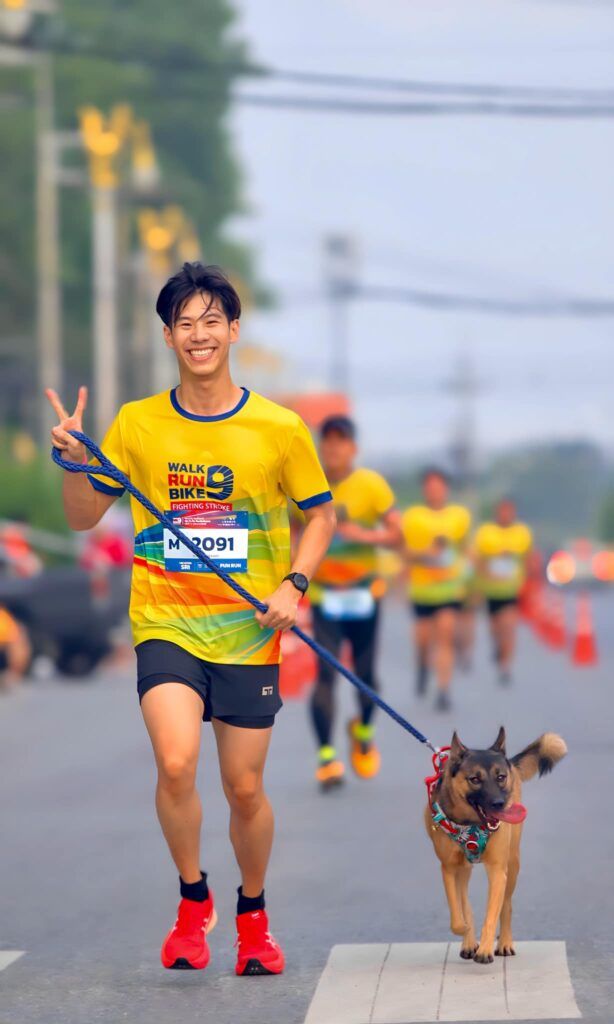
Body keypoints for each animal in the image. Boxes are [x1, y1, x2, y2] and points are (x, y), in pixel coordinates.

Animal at [425, 727, 567, 963]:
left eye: (500, 777)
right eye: (474, 779)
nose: (499, 804)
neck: (470, 823)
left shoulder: (498, 871)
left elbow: (492, 913)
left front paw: (485, 949)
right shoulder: (449, 868)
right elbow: (459, 913)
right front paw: (466, 932)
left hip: (513, 864)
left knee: (506, 906)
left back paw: (505, 943)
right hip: (465, 870)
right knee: (465, 900)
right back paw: (469, 941)